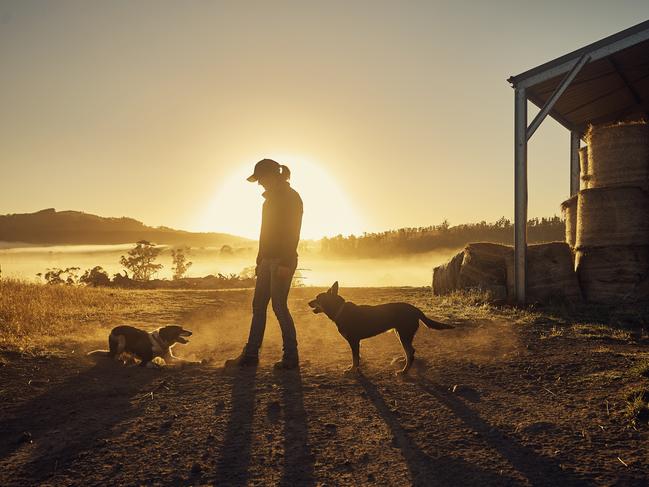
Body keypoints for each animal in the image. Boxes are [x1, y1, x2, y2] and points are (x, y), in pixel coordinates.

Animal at [308, 280, 450, 376]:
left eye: (317, 298)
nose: (308, 303)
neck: (340, 310)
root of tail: (415, 309)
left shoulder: (353, 340)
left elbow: (354, 358)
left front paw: (352, 369)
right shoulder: (357, 341)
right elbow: (357, 357)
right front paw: (357, 367)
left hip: (404, 335)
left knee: (410, 352)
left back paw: (404, 371)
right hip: (401, 334)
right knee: (410, 351)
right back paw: (403, 361)